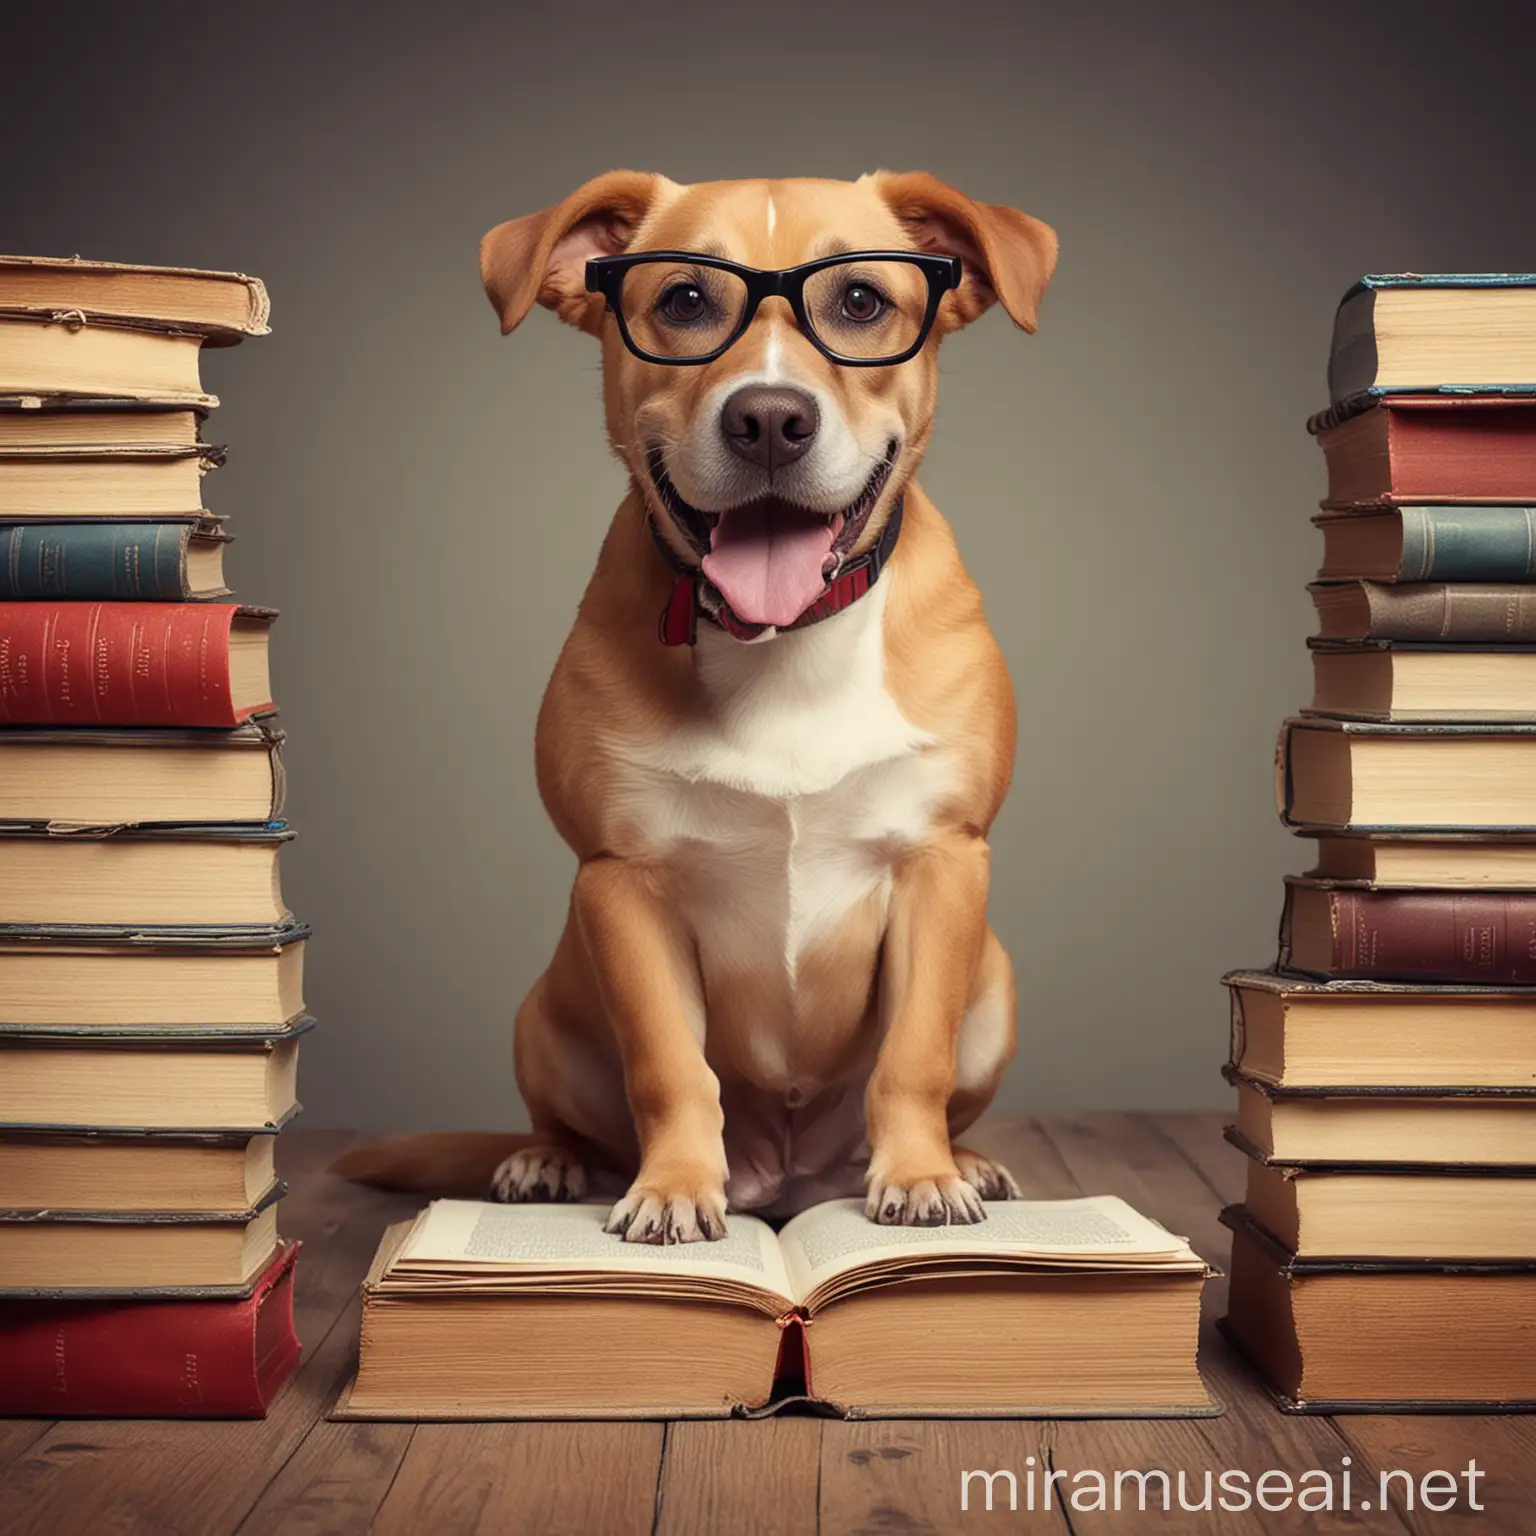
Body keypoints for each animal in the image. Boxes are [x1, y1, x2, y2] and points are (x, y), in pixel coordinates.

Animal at [334, 174, 1056, 1241]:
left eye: (860, 302)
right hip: (545, 1011)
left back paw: (965, 1159)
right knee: (574, 1120)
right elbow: (670, 1067)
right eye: (682, 300)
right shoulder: (622, 880)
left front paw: (923, 1172)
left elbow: (911, 1056)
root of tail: (790, 1178)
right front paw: (674, 1186)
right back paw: (546, 1162)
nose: (770, 419)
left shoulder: (943, 860)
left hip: (996, 980)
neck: (779, 644)